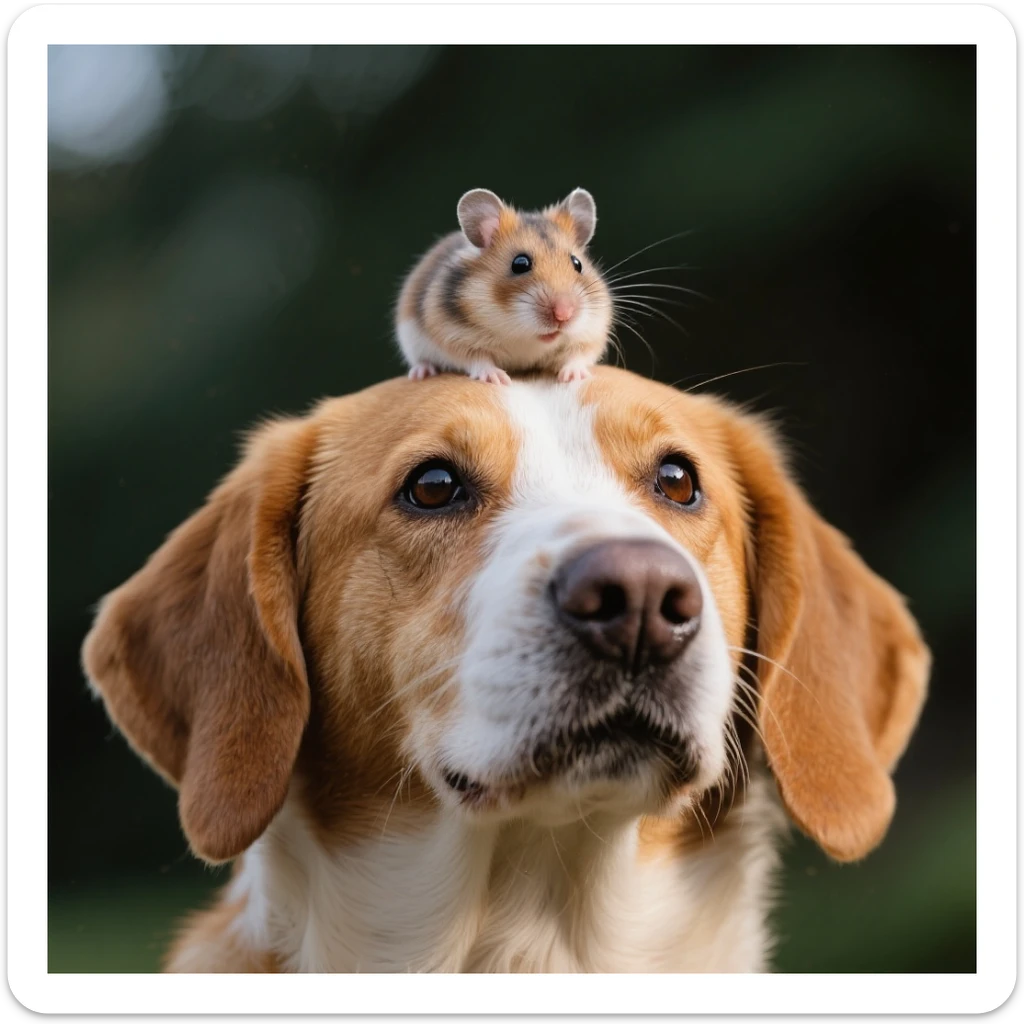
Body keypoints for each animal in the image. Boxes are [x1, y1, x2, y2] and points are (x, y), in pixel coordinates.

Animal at [395, 188, 613, 384]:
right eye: (520, 264)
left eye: (577, 264)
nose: (564, 314)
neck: (525, 337)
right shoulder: (452, 336)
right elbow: (477, 359)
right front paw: (497, 378)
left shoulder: (592, 332)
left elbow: (579, 355)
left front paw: (573, 376)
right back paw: (422, 372)